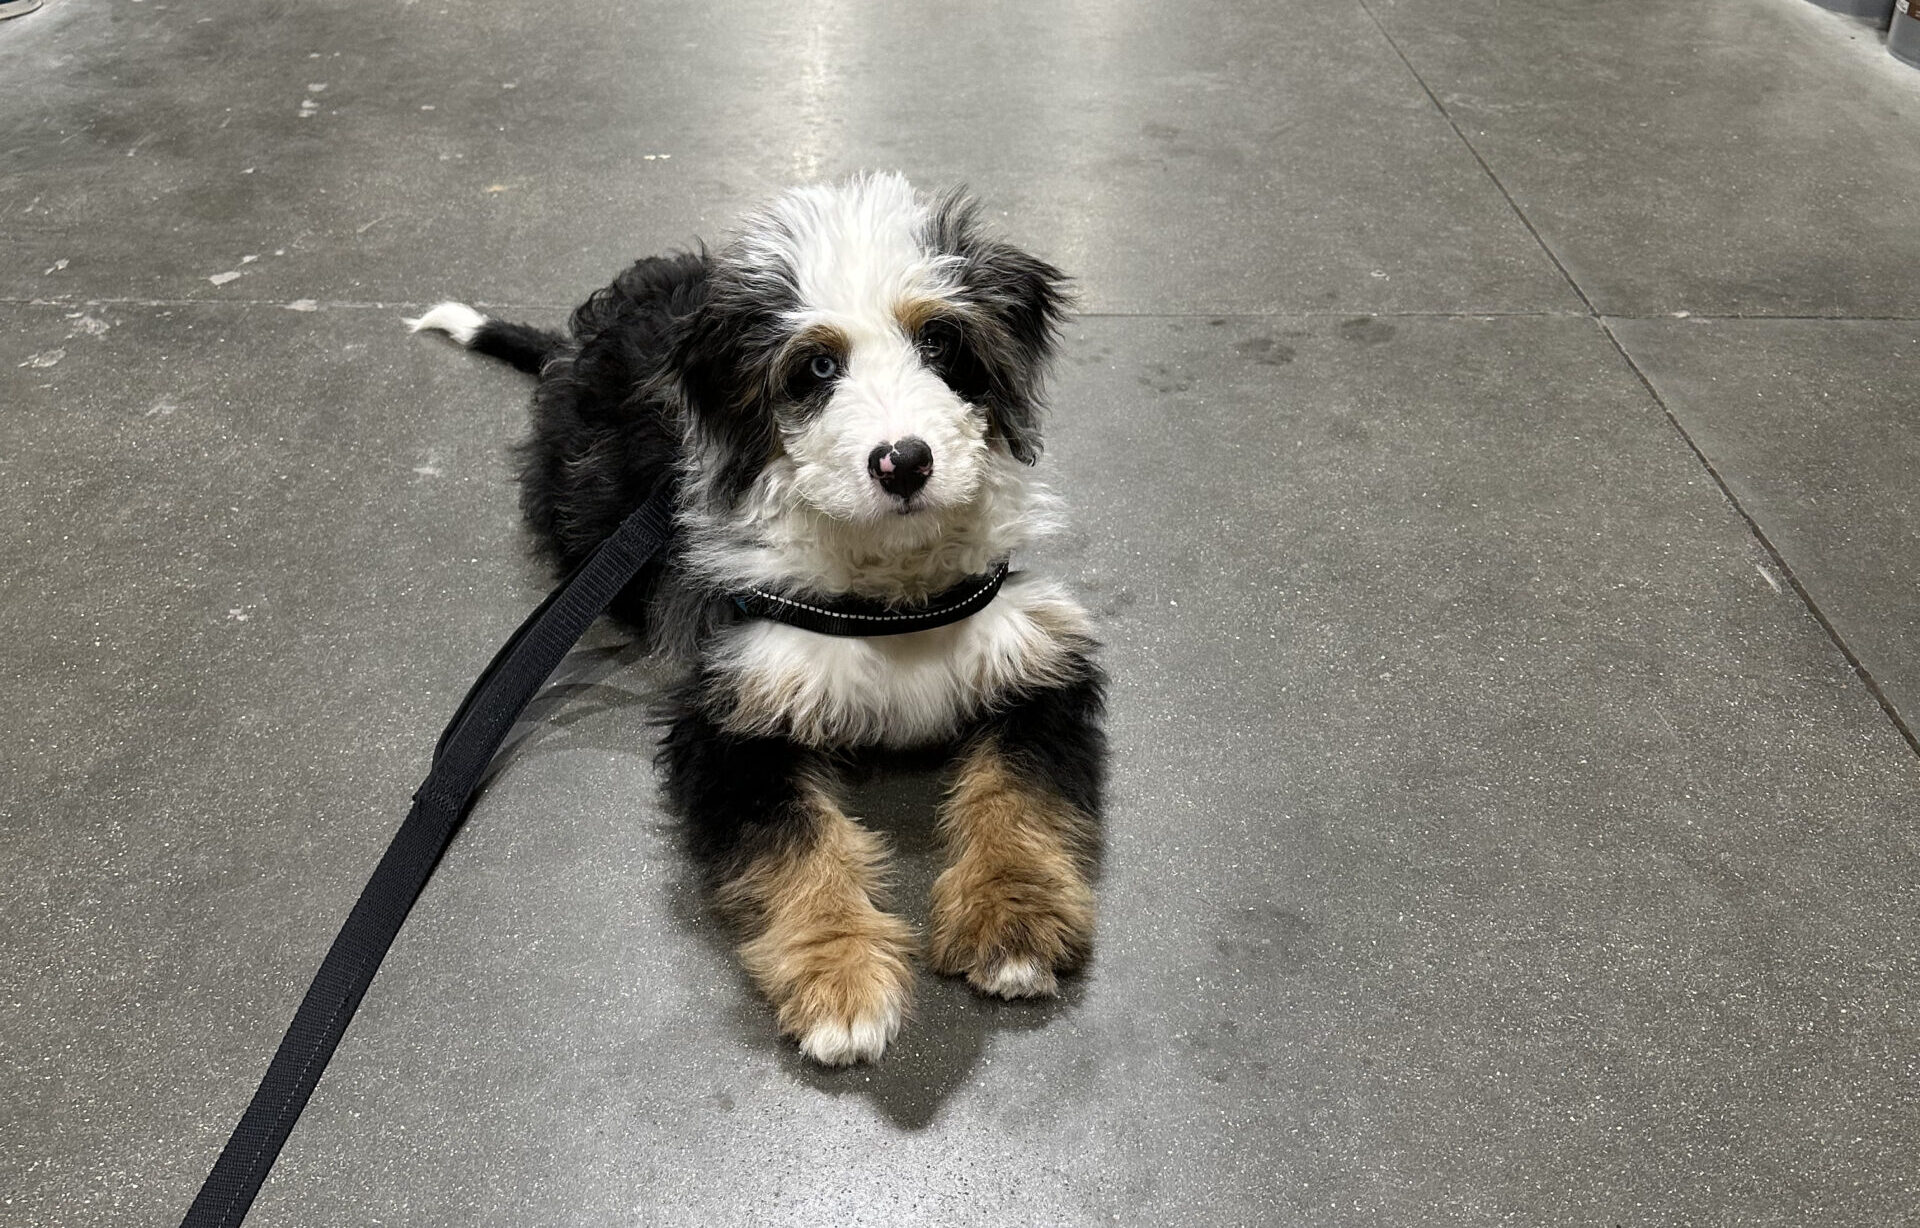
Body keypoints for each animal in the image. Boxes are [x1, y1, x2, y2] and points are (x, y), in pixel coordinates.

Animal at [405, 172, 1113, 1066]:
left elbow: (1020, 790)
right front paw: (841, 980)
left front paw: (1013, 921)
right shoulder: (732, 710)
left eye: (940, 342)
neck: (889, 594)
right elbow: (797, 840)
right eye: (817, 365)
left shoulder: (1037, 661)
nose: (903, 462)